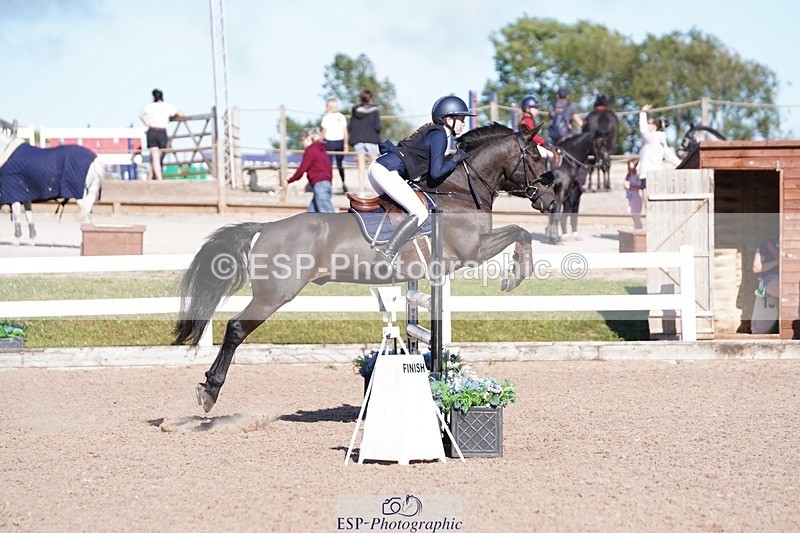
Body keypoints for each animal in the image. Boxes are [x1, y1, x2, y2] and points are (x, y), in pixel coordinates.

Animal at [173, 123, 558, 413]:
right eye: (534, 157)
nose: (552, 201)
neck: (459, 190)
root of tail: (265, 228)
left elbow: (520, 232)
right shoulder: (473, 250)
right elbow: (520, 231)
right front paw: (515, 275)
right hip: (274, 295)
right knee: (236, 329)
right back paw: (209, 391)